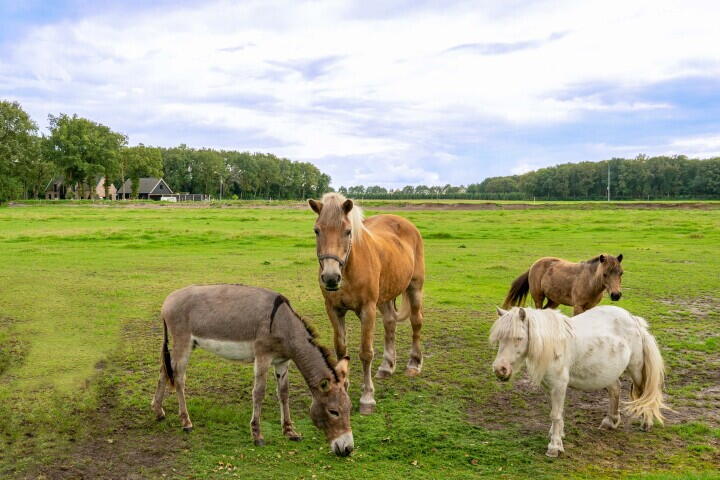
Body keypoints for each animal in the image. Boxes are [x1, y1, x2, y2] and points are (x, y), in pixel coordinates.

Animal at [152, 284, 354, 458]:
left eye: (349, 409)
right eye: (333, 411)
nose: (347, 449)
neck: (284, 324)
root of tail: (168, 299)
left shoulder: (283, 362)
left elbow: (284, 393)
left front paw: (289, 431)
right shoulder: (262, 357)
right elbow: (259, 393)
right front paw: (257, 435)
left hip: (186, 345)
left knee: (164, 371)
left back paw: (158, 411)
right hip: (183, 342)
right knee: (178, 378)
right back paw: (186, 422)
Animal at [308, 193, 422, 414]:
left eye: (348, 231)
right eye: (317, 230)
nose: (331, 277)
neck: (349, 270)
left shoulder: (367, 310)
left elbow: (366, 352)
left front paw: (367, 397)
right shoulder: (334, 310)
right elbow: (341, 349)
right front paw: (343, 387)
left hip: (414, 288)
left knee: (416, 322)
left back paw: (414, 364)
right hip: (385, 297)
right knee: (390, 323)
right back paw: (387, 366)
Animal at [490, 306, 668, 456]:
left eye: (519, 338)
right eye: (500, 339)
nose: (500, 369)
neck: (554, 345)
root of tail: (634, 320)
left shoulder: (559, 385)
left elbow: (555, 414)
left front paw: (554, 446)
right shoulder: (550, 386)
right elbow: (556, 412)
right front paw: (557, 434)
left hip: (636, 369)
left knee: (644, 393)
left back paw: (646, 423)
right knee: (615, 390)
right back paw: (610, 421)